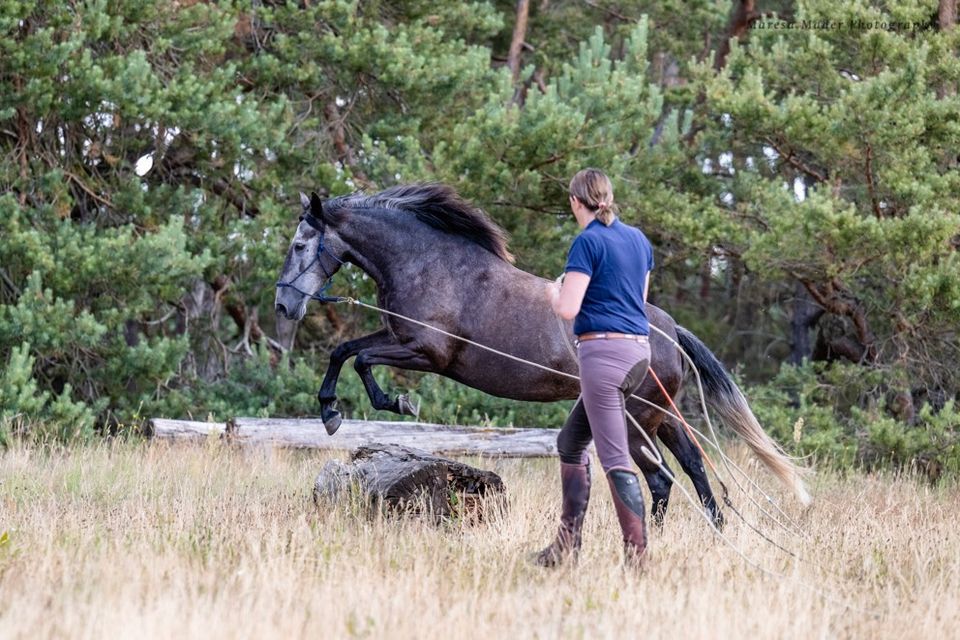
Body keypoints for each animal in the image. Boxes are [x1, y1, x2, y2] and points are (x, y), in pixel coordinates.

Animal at [276, 182, 808, 524]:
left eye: (300, 244)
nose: (284, 304)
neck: (428, 265)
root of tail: (670, 330)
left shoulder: (425, 351)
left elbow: (359, 359)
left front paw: (388, 404)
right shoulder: (398, 338)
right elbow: (344, 351)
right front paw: (331, 411)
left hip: (636, 418)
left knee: (661, 479)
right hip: (662, 414)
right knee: (694, 467)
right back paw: (714, 532)